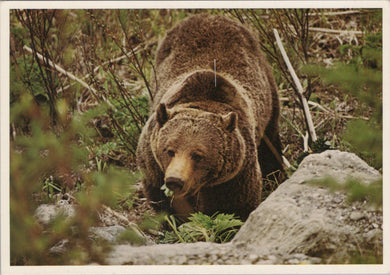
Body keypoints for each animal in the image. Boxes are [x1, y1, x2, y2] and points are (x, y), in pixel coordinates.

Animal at [136, 15, 282, 222]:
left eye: (198, 155)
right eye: (169, 150)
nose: (174, 180)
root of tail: (210, 16)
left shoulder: (235, 173)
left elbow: (235, 206)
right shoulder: (153, 163)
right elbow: (163, 201)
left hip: (268, 90)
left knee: (271, 140)